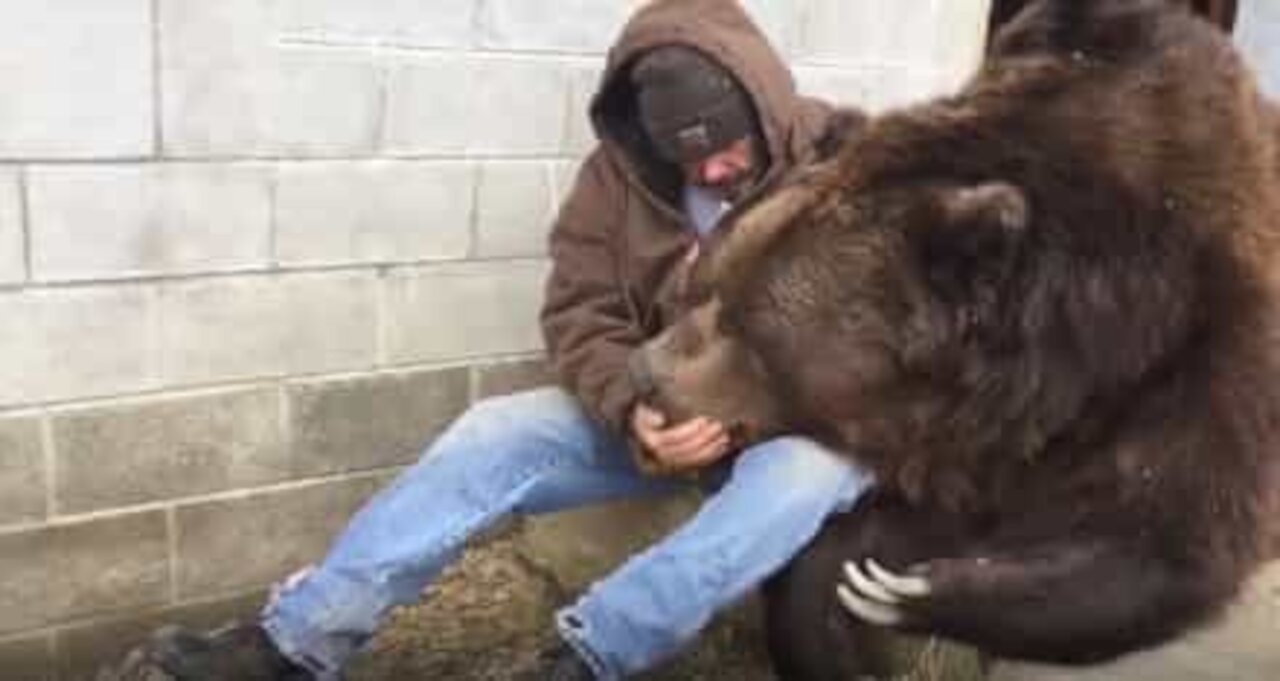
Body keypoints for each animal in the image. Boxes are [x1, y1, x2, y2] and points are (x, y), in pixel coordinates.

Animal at [627, 0, 1280, 675]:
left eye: (750, 328)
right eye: (708, 283)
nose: (644, 371)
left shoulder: (1202, 357)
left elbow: (1167, 540)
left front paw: (911, 592)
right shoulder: (971, 434)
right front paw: (852, 600)